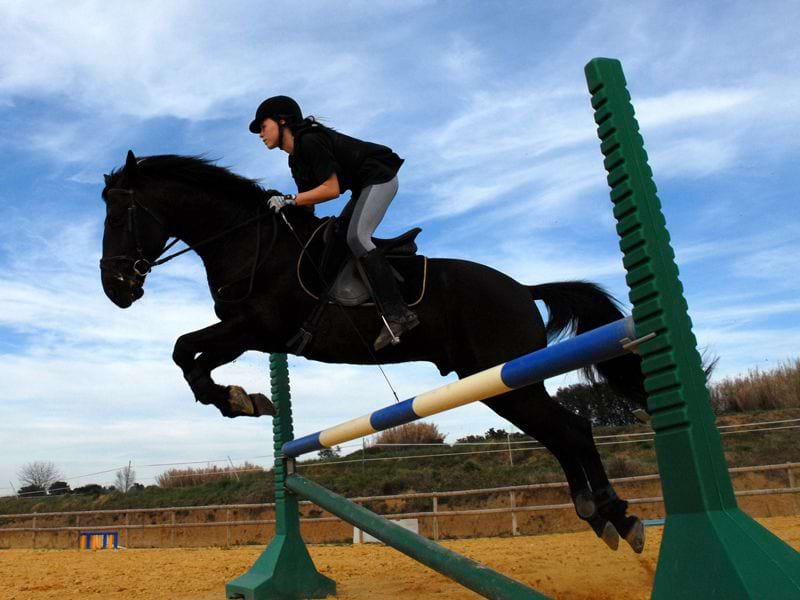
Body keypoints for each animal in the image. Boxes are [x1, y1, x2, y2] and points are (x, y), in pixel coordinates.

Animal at [100, 150, 648, 552]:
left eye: (121, 215)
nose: (115, 290)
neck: (248, 242)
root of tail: (523, 289)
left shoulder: (254, 329)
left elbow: (186, 353)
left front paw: (238, 399)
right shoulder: (249, 333)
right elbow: (187, 357)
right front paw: (242, 399)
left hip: (506, 379)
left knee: (572, 430)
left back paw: (616, 515)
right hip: (502, 384)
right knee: (561, 435)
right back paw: (600, 514)